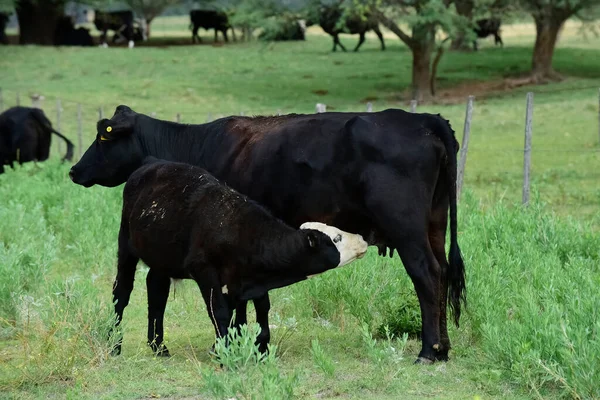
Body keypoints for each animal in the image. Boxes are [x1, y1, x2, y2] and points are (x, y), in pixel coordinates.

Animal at [109, 158, 368, 354]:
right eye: (337, 238)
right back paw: (114, 343)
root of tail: (149, 165)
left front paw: (255, 346)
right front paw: (224, 351)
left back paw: (158, 346)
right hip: (126, 246)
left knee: (156, 293)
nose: (362, 240)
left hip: (162, 258)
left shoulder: (244, 280)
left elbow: (256, 309)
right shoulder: (205, 271)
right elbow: (220, 311)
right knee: (121, 293)